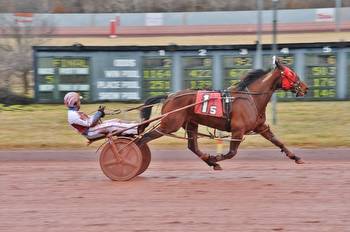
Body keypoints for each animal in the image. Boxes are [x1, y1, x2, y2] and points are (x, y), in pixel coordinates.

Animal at [137, 57, 308, 170]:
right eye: (291, 74)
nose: (305, 88)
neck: (250, 98)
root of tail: (169, 96)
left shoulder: (261, 127)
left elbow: (278, 141)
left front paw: (297, 157)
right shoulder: (238, 130)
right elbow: (232, 152)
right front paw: (215, 156)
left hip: (191, 123)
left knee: (192, 146)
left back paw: (211, 163)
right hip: (169, 124)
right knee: (143, 139)